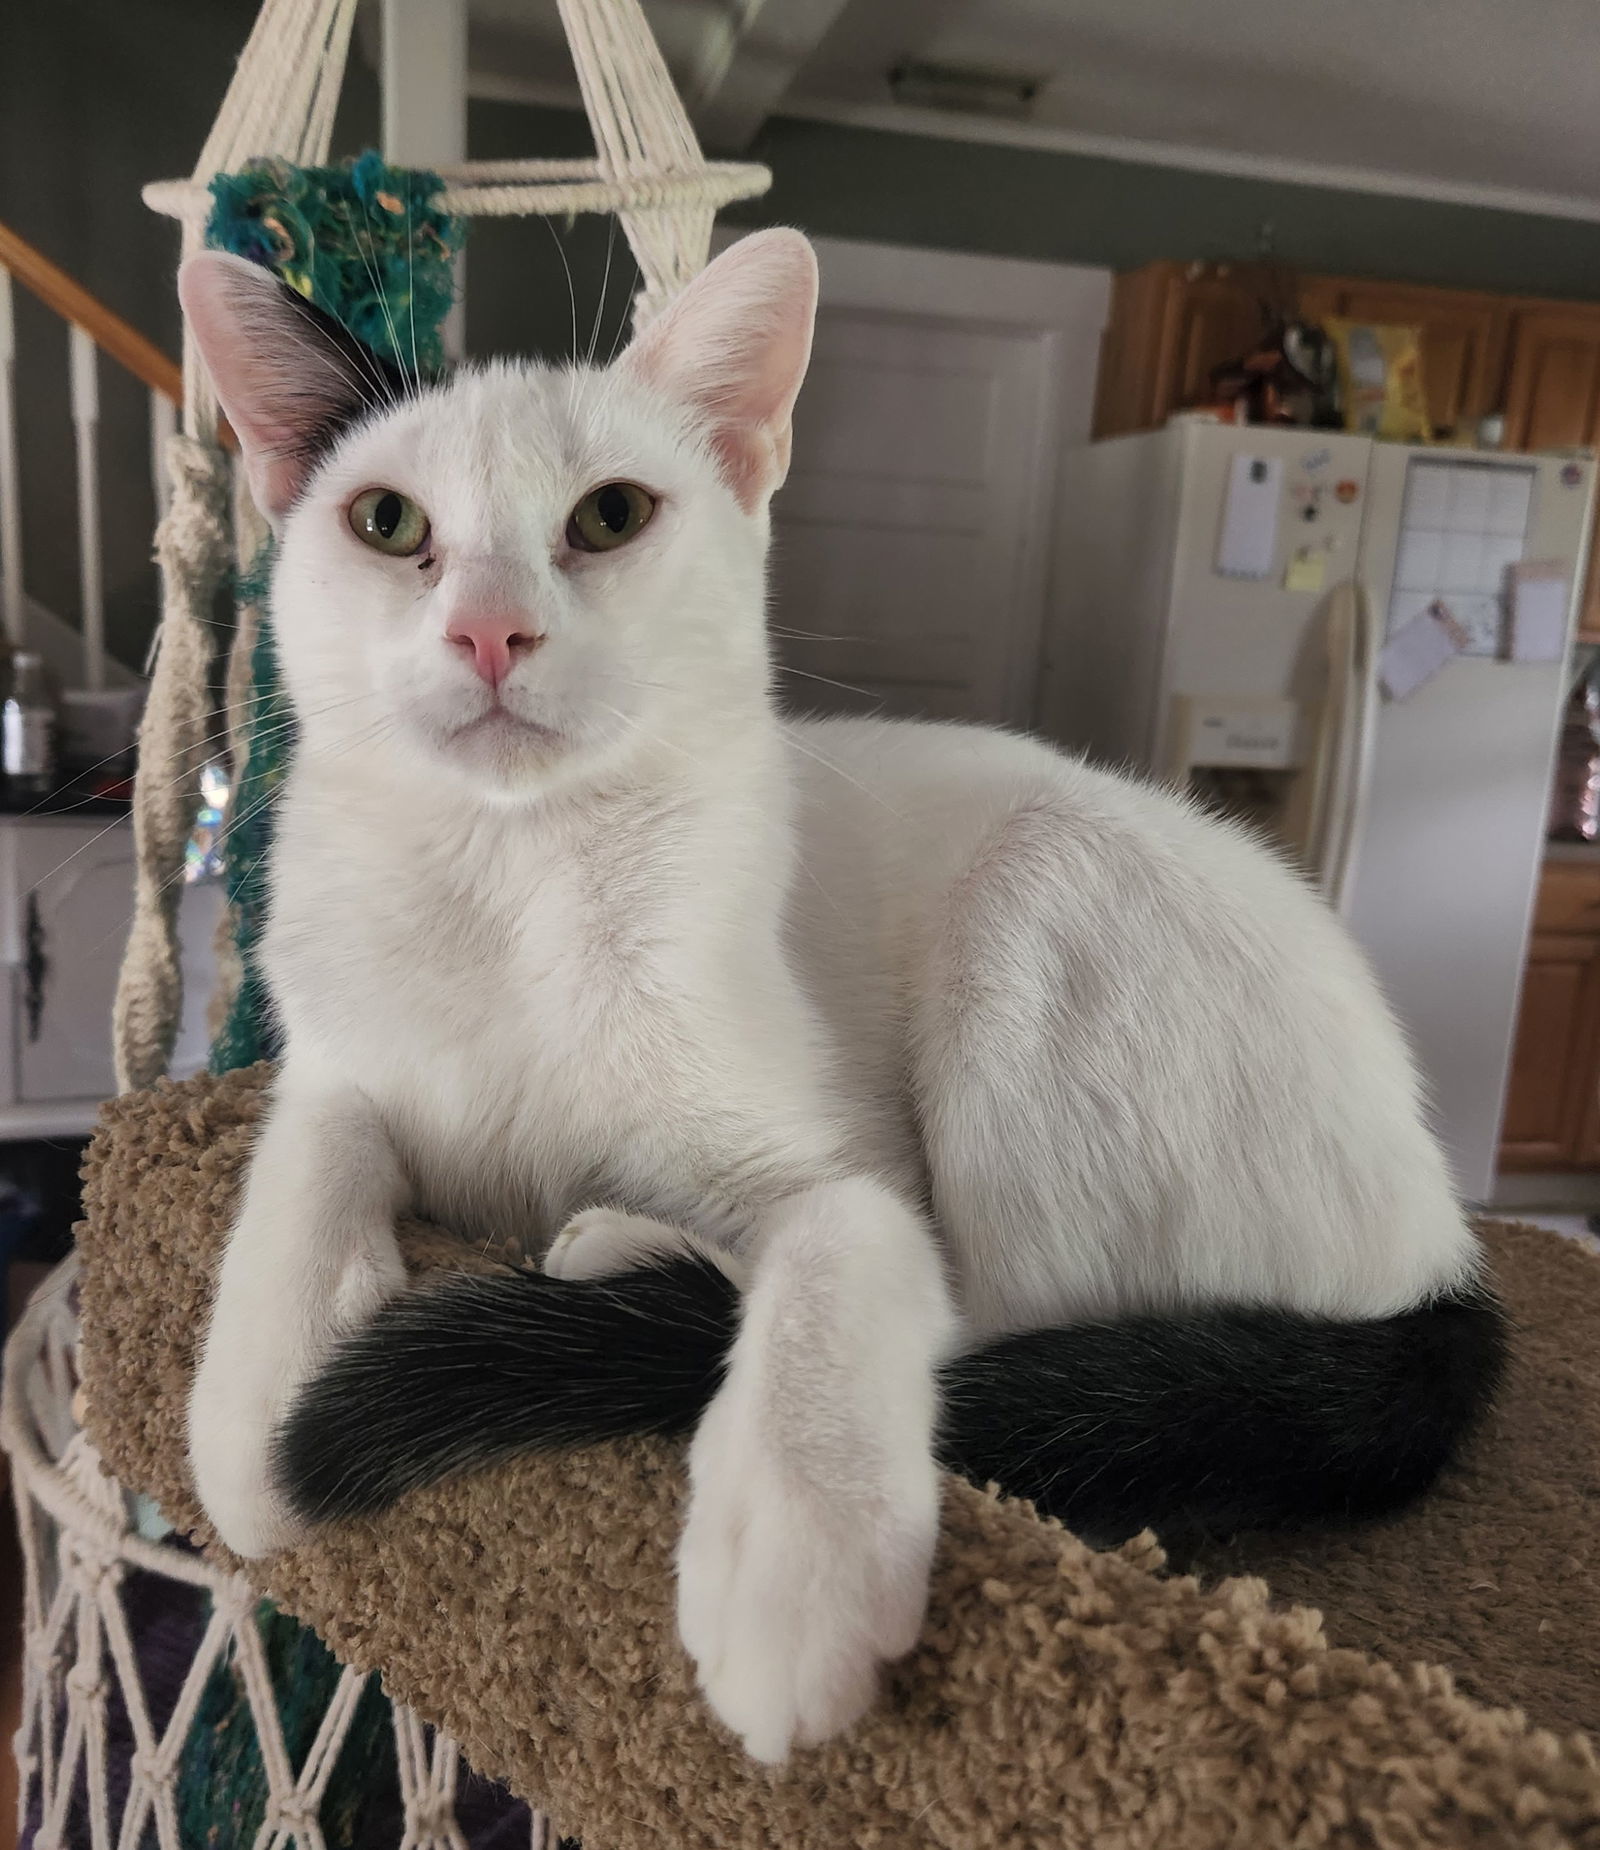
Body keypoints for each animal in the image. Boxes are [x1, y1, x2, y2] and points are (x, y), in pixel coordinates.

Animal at [177, 231, 1494, 1761]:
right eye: (388, 523)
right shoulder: (331, 1050)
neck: (515, 877)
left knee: (978, 1319)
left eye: (610, 515)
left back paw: (632, 1255)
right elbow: (309, 1139)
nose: (492, 632)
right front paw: (252, 1390)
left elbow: (852, 1236)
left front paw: (793, 1557)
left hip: (1042, 878)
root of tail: (1448, 1238)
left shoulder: (854, 1163)